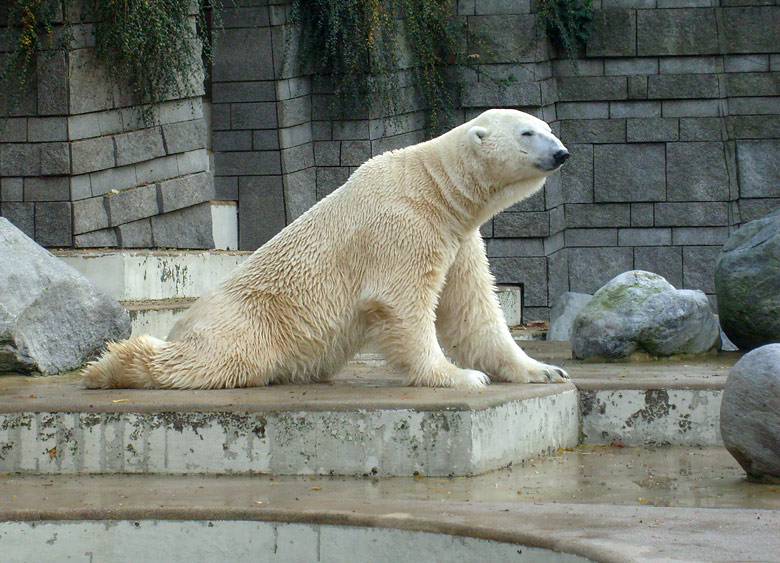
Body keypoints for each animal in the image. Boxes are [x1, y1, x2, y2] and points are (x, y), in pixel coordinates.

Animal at [84, 110, 568, 392]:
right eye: (528, 132)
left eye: (549, 128)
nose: (562, 153)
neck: (433, 187)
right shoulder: (402, 228)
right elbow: (402, 303)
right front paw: (459, 376)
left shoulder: (458, 236)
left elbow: (471, 310)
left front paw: (543, 369)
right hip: (249, 320)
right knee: (216, 360)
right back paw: (108, 368)